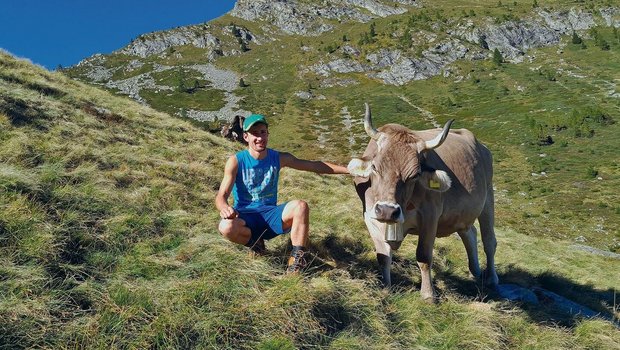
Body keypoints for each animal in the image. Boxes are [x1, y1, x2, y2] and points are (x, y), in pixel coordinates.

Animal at [348, 103, 498, 300]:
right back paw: (476, 271)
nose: (388, 211)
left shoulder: (430, 216)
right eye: (374, 167)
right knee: (469, 232)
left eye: (415, 175)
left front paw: (428, 295)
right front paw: (386, 288)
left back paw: (492, 279)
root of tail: (481, 146)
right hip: (463, 214)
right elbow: (383, 256)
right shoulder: (370, 216)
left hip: (488, 198)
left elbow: (424, 257)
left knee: (489, 241)